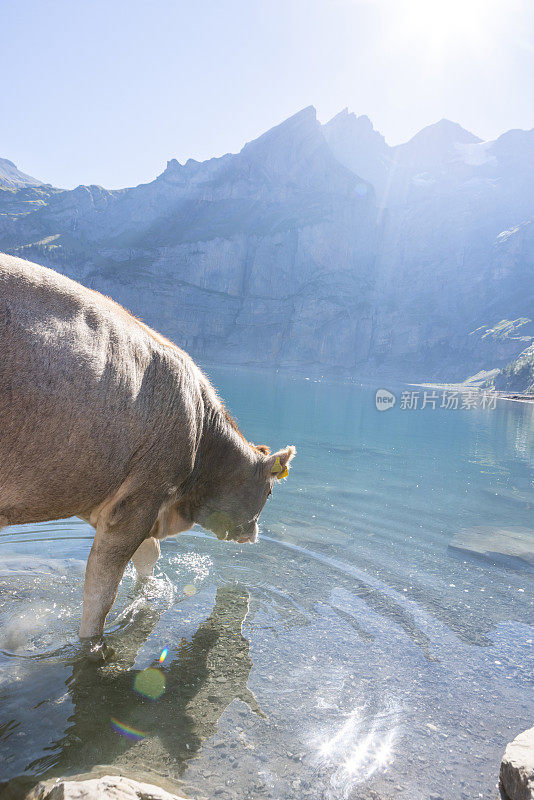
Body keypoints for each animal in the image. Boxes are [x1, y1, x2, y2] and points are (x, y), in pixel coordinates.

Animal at [0, 253, 298, 660]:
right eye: (269, 492)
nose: (253, 535)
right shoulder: (139, 500)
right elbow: (101, 593)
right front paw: (93, 645)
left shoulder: (115, 501)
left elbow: (148, 557)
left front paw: (148, 596)